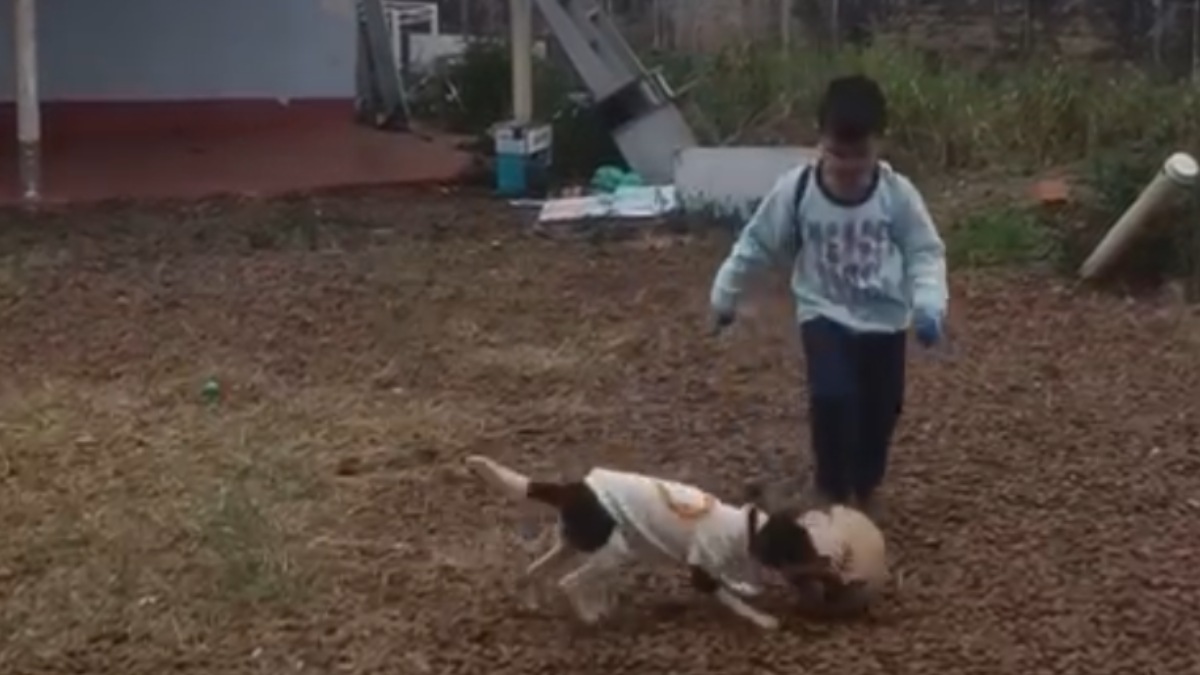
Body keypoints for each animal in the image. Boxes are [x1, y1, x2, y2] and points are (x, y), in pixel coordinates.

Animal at [463, 454, 849, 629]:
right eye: (803, 552)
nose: (832, 565)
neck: (746, 529)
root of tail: (573, 488)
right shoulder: (700, 570)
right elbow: (731, 598)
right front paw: (762, 618)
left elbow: (735, 585)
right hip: (612, 552)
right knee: (568, 582)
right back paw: (590, 616)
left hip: (574, 545)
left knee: (534, 570)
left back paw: (535, 603)